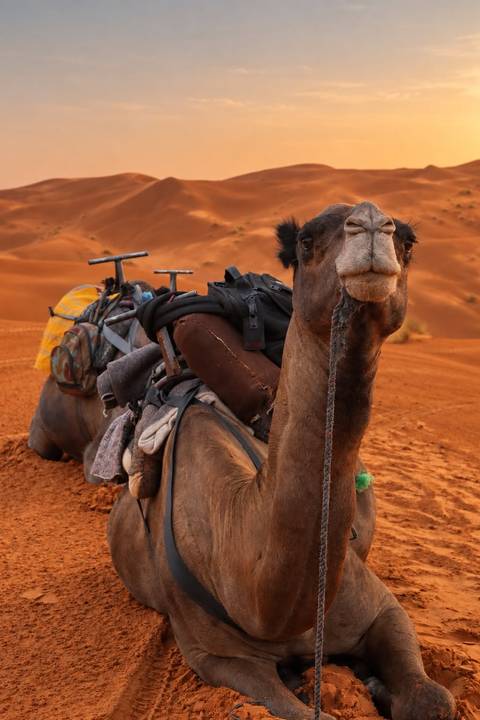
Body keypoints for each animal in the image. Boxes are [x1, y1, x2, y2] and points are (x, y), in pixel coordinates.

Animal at [107, 202, 456, 720]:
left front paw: (382, 685)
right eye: (305, 242)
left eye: (408, 241)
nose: (371, 224)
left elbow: (432, 698)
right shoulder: (217, 657)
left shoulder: (381, 608)